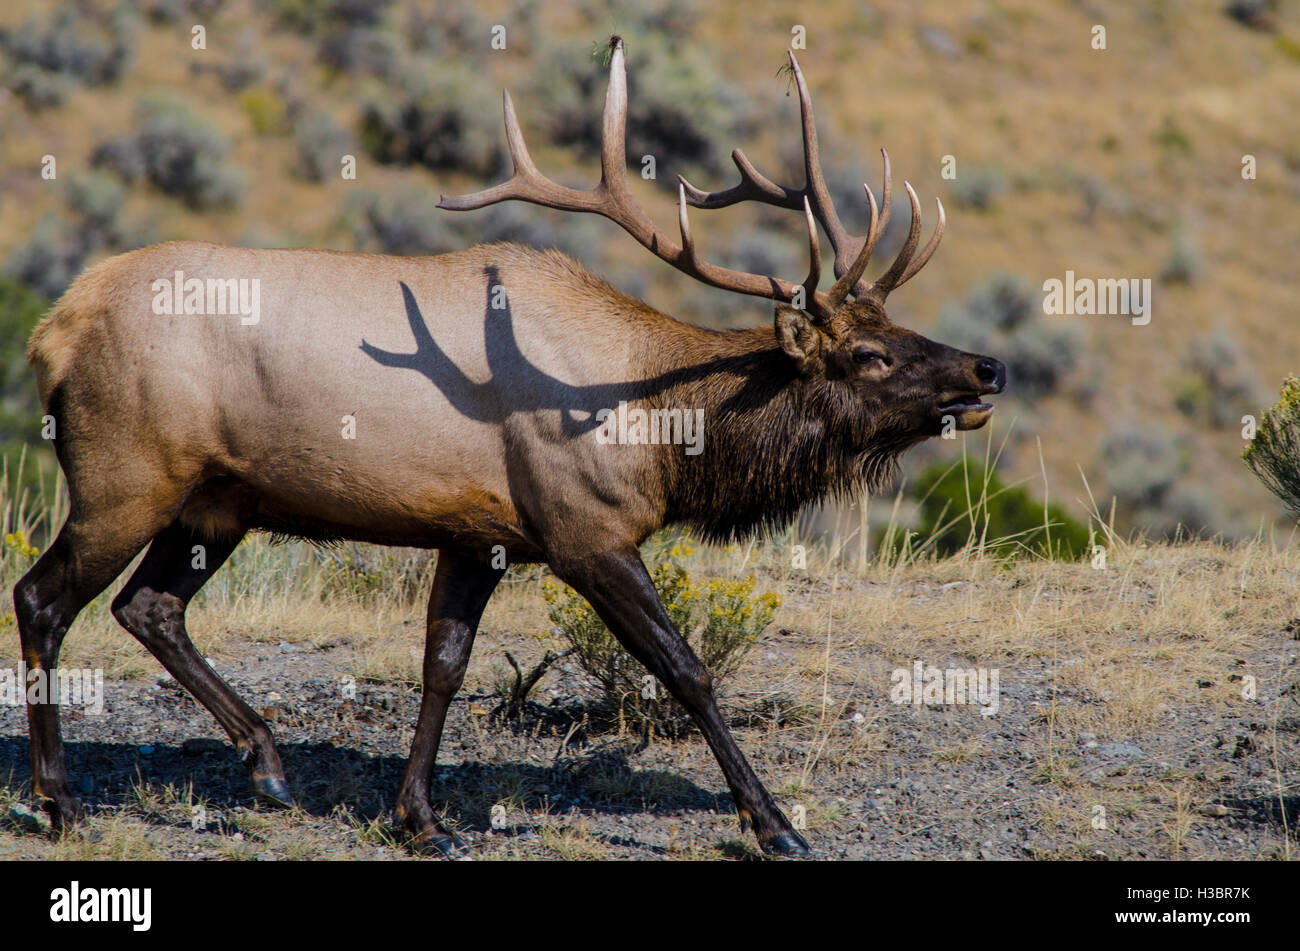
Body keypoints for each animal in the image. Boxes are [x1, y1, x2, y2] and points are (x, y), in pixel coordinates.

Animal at [15, 37, 1003, 857]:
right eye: (870, 354)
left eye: (900, 326)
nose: (987, 366)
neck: (662, 434)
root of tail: (51, 330)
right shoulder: (586, 530)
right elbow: (685, 669)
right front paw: (774, 824)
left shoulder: (475, 534)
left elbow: (443, 667)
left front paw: (421, 817)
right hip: (123, 475)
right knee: (43, 598)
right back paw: (60, 800)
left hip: (216, 502)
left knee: (148, 607)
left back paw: (266, 761)